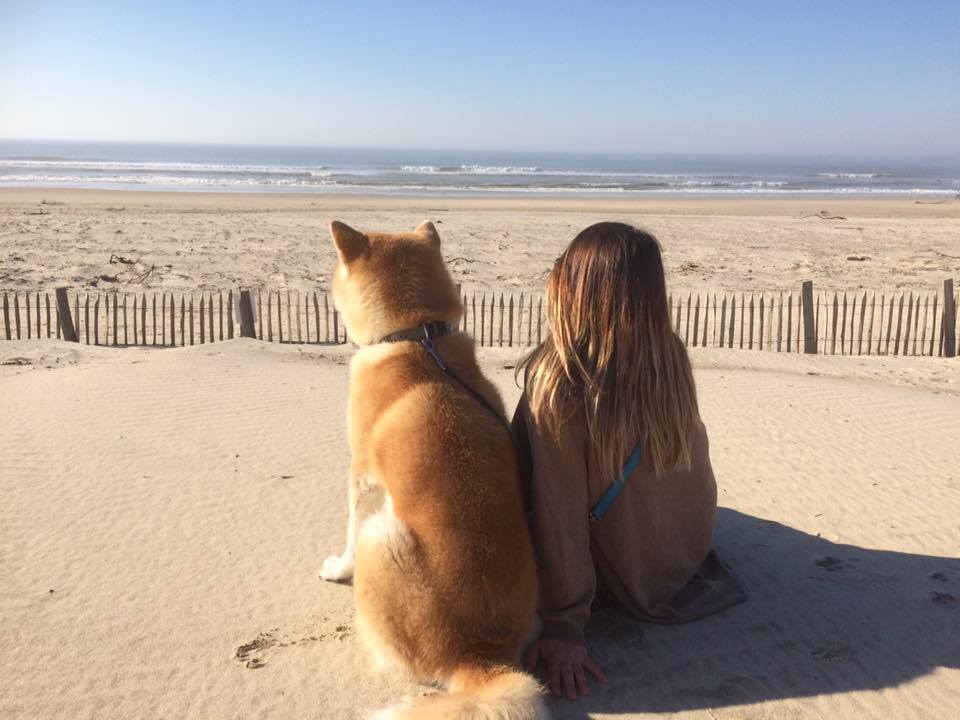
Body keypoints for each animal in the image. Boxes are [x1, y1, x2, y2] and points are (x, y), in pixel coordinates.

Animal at [322, 221, 548, 720]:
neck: (415, 337)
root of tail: (479, 656)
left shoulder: (361, 479)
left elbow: (347, 537)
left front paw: (337, 570)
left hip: (381, 535)